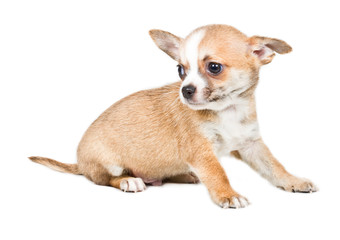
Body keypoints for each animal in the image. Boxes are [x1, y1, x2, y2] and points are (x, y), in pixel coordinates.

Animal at [29, 24, 318, 208]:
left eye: (214, 67)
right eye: (180, 70)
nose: (186, 90)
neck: (228, 110)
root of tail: (79, 163)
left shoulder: (251, 145)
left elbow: (274, 167)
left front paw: (294, 181)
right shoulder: (201, 152)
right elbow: (218, 173)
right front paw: (227, 195)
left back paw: (185, 176)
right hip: (107, 163)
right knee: (106, 179)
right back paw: (129, 181)